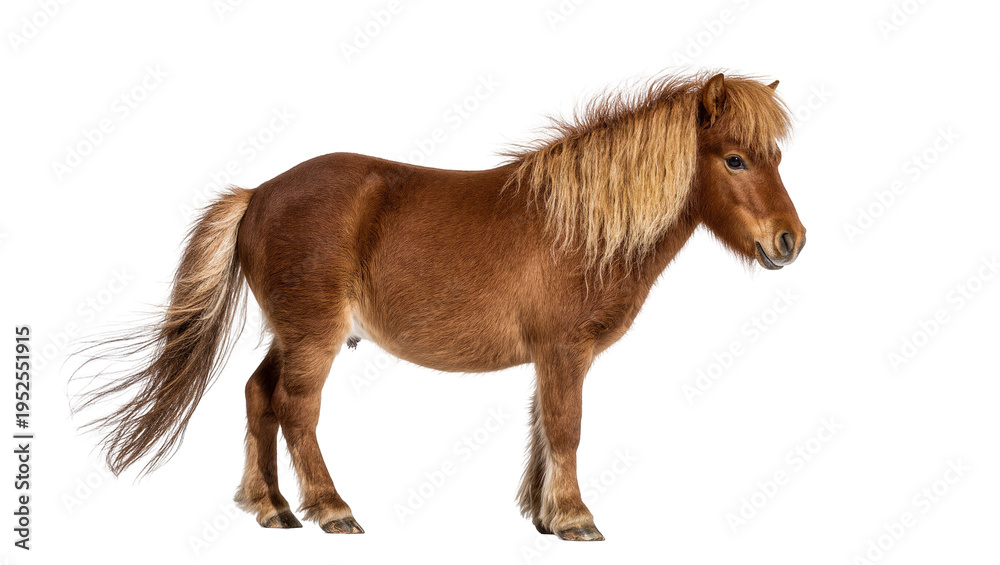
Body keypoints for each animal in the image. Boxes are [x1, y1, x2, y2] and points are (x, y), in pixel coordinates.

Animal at [74, 71, 806, 541]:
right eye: (735, 160)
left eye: (774, 156)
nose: (789, 241)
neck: (580, 225)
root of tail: (259, 193)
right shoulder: (564, 351)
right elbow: (565, 427)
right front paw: (575, 518)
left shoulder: (551, 359)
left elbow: (543, 429)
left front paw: (544, 516)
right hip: (313, 335)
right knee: (295, 409)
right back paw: (330, 508)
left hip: (290, 334)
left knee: (259, 396)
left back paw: (272, 507)